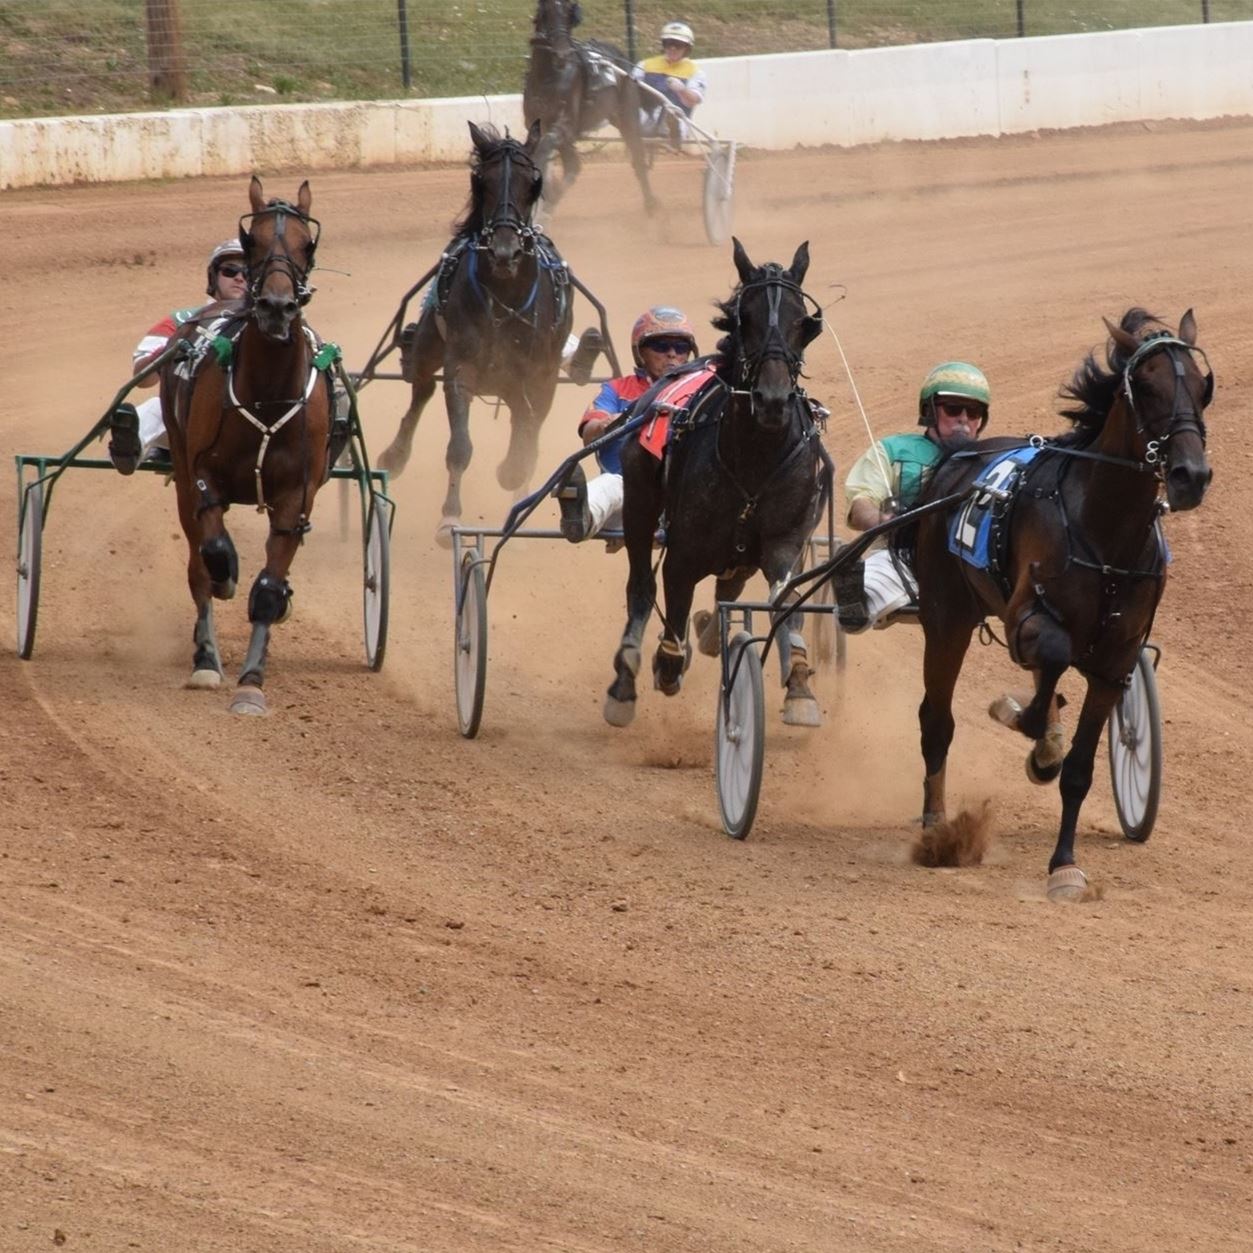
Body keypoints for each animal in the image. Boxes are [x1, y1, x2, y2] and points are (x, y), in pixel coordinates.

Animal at [162, 176, 333, 716]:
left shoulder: (297, 496)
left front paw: (253, 682)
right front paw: (227, 579)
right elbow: (215, 552)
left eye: (306, 244)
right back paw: (206, 655)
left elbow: (270, 588)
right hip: (180, 469)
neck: (267, 392)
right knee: (197, 562)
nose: (276, 307)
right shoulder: (203, 478)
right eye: (251, 241)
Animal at [375, 119, 573, 546]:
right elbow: (459, 447)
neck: (504, 295)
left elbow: (528, 432)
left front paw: (514, 474)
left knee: (528, 419)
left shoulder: (538, 373)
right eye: (482, 180)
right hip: (431, 346)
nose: (504, 251)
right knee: (420, 391)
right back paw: (395, 455)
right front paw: (449, 518)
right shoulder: (460, 370)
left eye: (533, 181)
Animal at [518, 0, 656, 213]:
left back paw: (651, 205)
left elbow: (546, 149)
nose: (562, 53)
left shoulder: (564, 126)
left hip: (628, 115)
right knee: (573, 166)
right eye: (546, 11)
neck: (549, 76)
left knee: (638, 157)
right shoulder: (536, 122)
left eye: (569, 12)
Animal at [603, 239, 826, 731]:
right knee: (641, 588)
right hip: (639, 504)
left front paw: (801, 686)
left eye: (803, 322)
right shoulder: (684, 550)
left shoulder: (786, 541)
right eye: (746, 320)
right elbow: (671, 599)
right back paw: (626, 681)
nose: (773, 401)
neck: (756, 457)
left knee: (729, 586)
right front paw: (668, 662)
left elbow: (787, 601)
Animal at [912, 313, 1212, 902]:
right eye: (1146, 387)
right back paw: (937, 830)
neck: (1105, 529)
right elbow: (1049, 656)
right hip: (946, 618)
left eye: (1201, 385)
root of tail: (954, 463)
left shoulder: (1116, 660)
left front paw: (1065, 866)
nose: (1191, 475)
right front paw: (1027, 726)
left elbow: (1078, 768)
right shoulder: (1026, 617)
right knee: (936, 721)